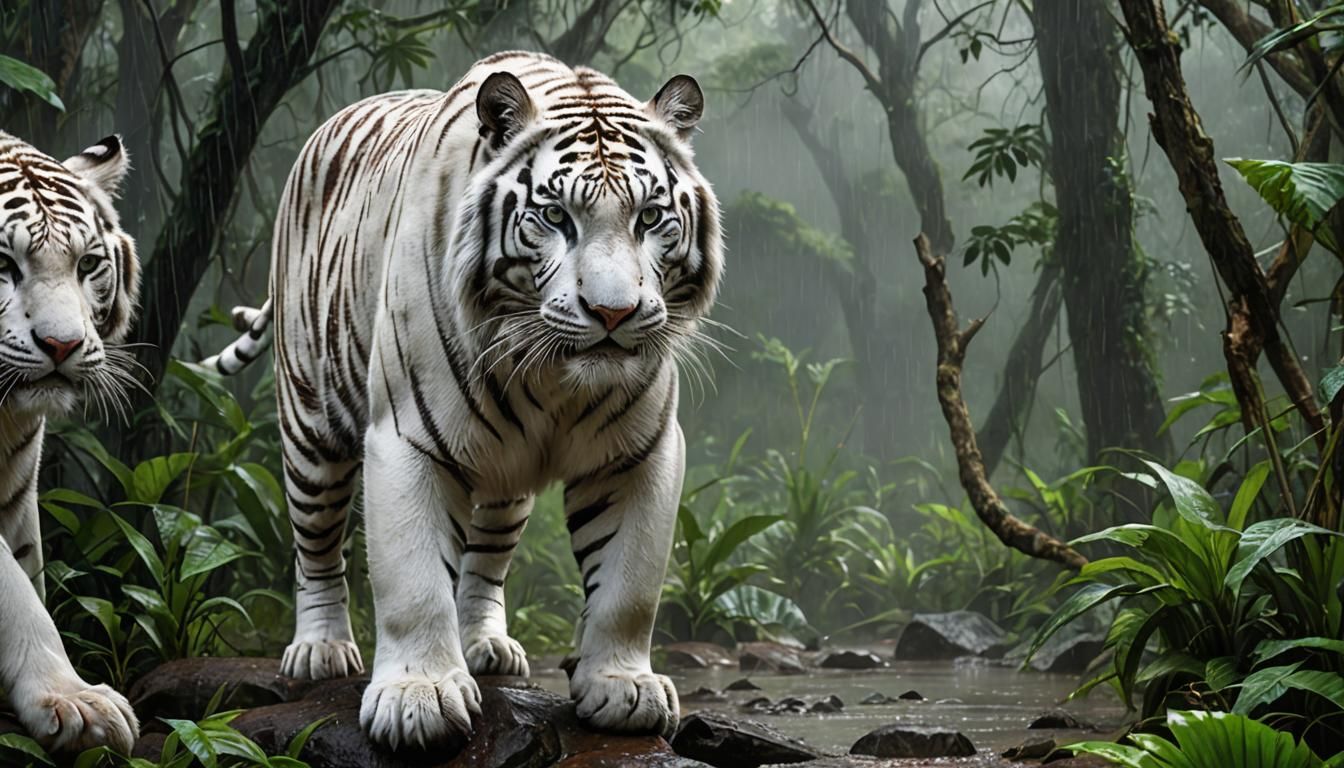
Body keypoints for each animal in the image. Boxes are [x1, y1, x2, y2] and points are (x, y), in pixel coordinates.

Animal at [201, 50, 722, 751]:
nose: (613, 313)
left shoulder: (639, 453)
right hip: (310, 428)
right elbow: (415, 583)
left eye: (648, 219)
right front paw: (416, 700)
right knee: (316, 543)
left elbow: (629, 585)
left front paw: (623, 687)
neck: (550, 375)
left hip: (506, 480)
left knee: (487, 559)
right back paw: (320, 650)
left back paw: (487, 645)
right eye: (556, 217)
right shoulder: (405, 439)